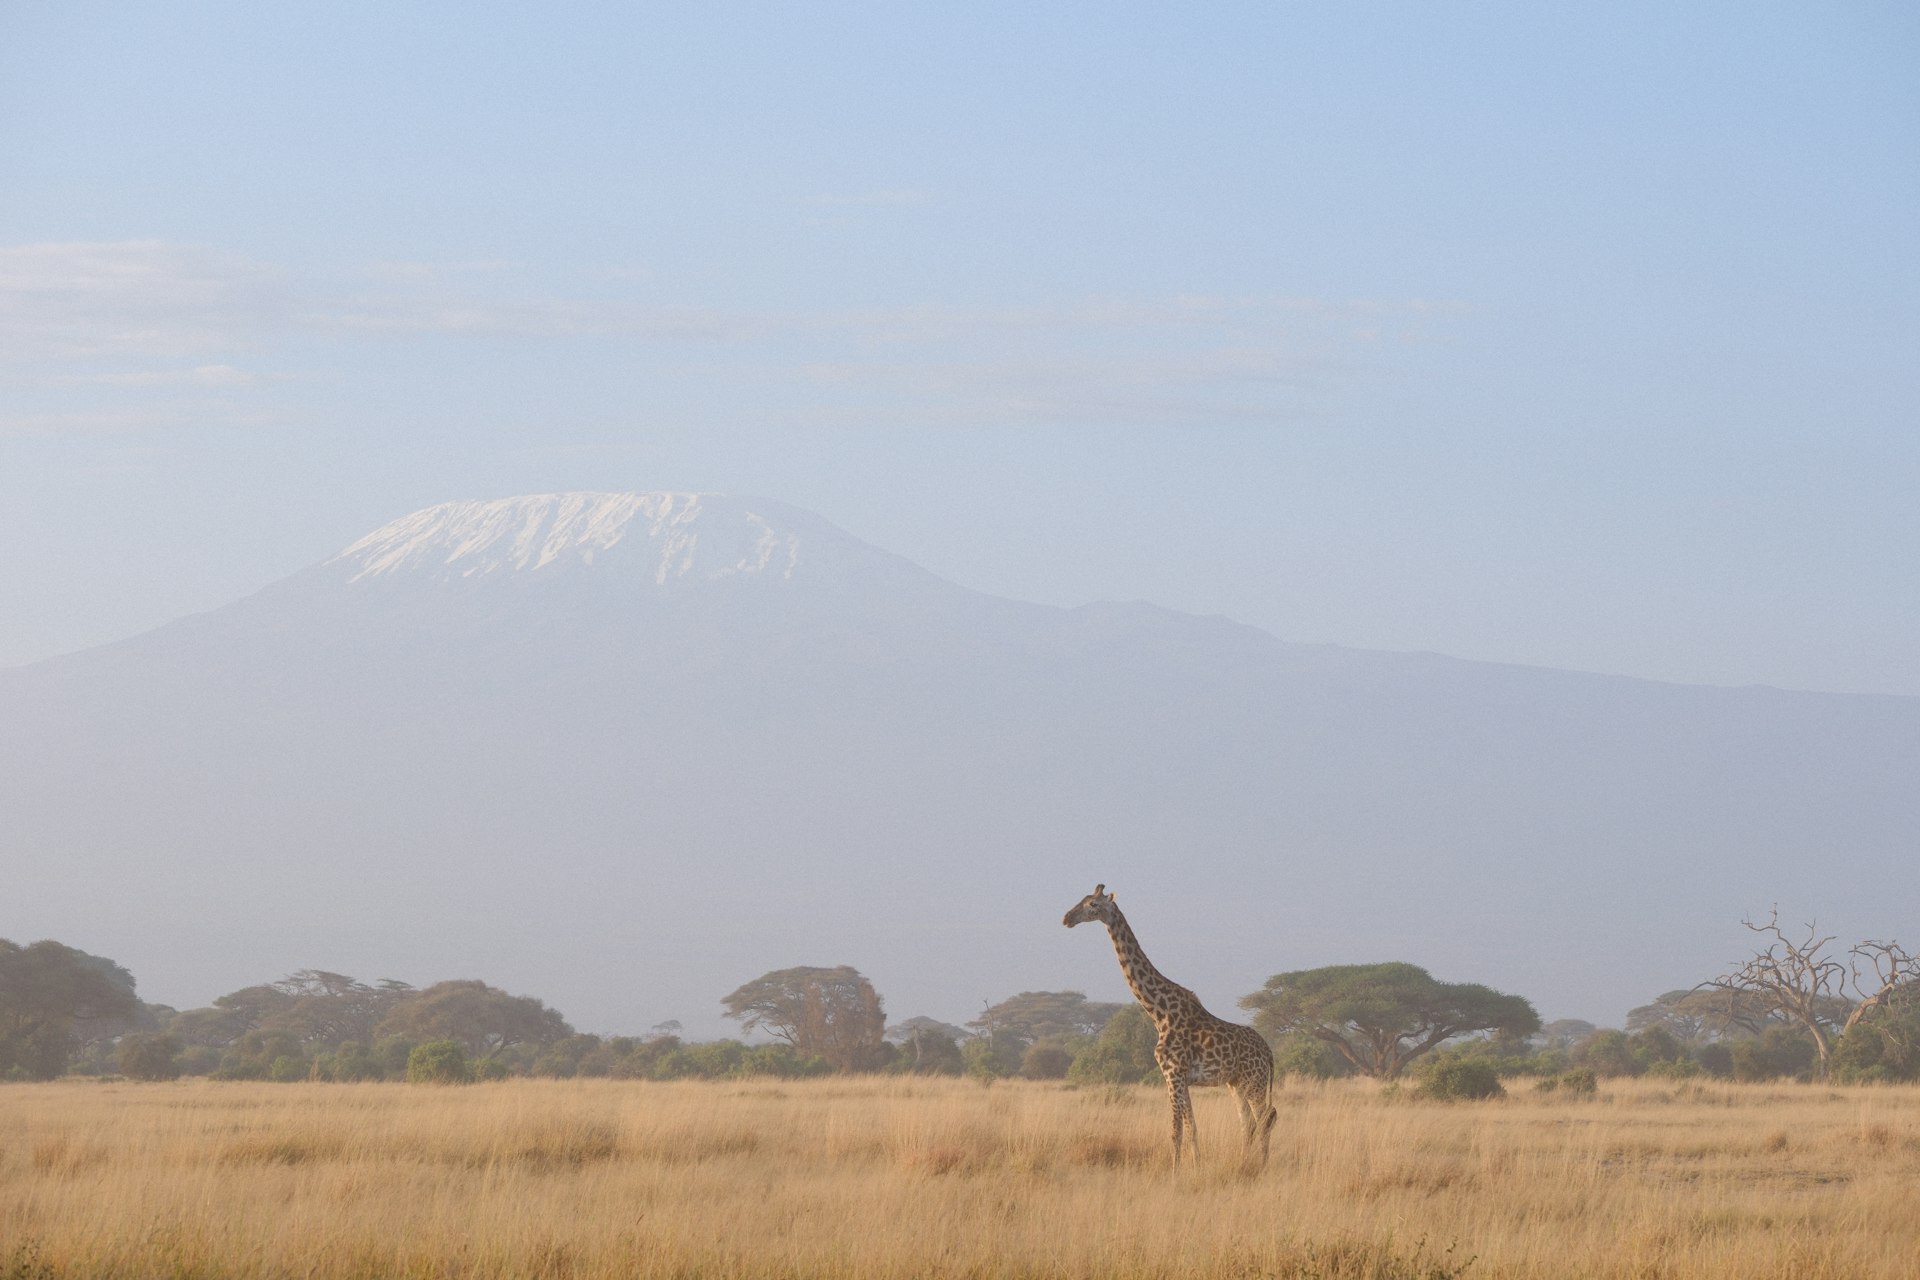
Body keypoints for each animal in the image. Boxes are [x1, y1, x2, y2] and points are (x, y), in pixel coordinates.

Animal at [1063, 884, 1278, 1169]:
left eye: (1093, 905)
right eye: (1083, 899)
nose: (1066, 918)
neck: (1158, 1011)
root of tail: (1269, 1052)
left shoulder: (1172, 1073)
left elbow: (1175, 1130)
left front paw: (1175, 1172)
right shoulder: (1181, 1077)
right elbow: (1191, 1128)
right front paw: (1195, 1166)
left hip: (1255, 1081)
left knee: (1264, 1120)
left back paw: (1261, 1166)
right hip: (1237, 1083)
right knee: (1249, 1124)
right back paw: (1244, 1163)